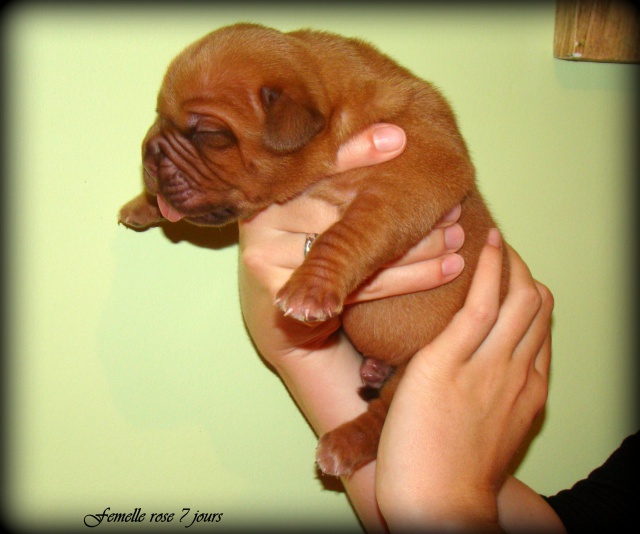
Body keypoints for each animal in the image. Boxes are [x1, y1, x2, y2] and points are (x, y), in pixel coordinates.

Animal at [120, 23, 510, 480]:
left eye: (209, 135)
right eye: (158, 116)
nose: (148, 152)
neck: (337, 106)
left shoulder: (411, 176)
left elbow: (350, 230)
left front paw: (310, 287)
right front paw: (142, 205)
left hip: (420, 365)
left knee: (386, 414)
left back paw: (344, 443)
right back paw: (372, 371)